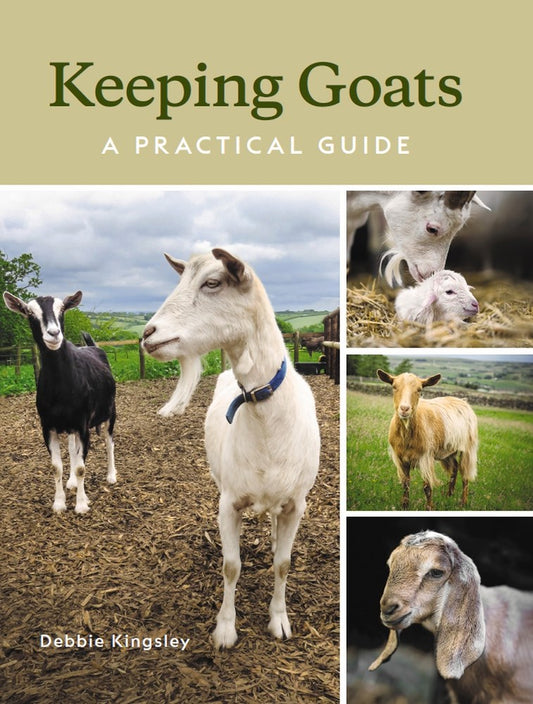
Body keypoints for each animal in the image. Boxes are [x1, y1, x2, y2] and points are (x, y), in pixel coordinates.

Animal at [3, 291, 116, 514]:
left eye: (62, 309)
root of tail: (93, 347)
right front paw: (59, 503)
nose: (54, 333)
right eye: (29, 312)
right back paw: (72, 482)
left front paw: (81, 505)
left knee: (109, 442)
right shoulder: (48, 427)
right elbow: (56, 466)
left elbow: (81, 467)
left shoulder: (82, 425)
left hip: (111, 412)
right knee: (73, 450)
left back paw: (111, 476)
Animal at [142, 248, 320, 649]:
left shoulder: (297, 503)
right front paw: (225, 629)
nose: (147, 334)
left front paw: (279, 620)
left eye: (212, 282)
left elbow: (283, 563)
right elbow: (231, 565)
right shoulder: (229, 501)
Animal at [376, 370, 478, 510]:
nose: (404, 409)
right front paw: (404, 505)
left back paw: (463, 502)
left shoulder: (425, 457)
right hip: (447, 451)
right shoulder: (400, 458)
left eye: (419, 389)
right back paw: (449, 495)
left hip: (468, 448)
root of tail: (463, 401)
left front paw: (429, 508)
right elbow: (405, 484)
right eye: (394, 387)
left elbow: (427, 487)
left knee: (465, 475)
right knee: (454, 469)